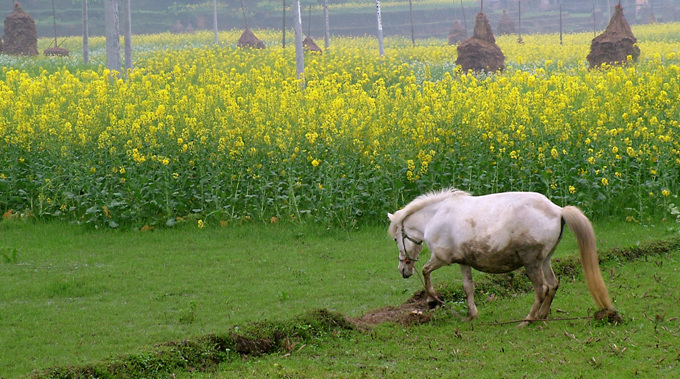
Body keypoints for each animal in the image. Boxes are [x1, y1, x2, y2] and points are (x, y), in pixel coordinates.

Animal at [388, 189, 616, 326]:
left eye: (395, 238)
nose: (402, 270)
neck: (435, 216)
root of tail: (557, 210)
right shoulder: (463, 262)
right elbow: (468, 287)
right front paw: (471, 314)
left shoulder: (441, 258)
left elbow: (426, 272)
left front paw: (432, 299)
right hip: (544, 260)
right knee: (552, 284)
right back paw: (541, 315)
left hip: (531, 263)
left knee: (541, 288)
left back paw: (528, 320)